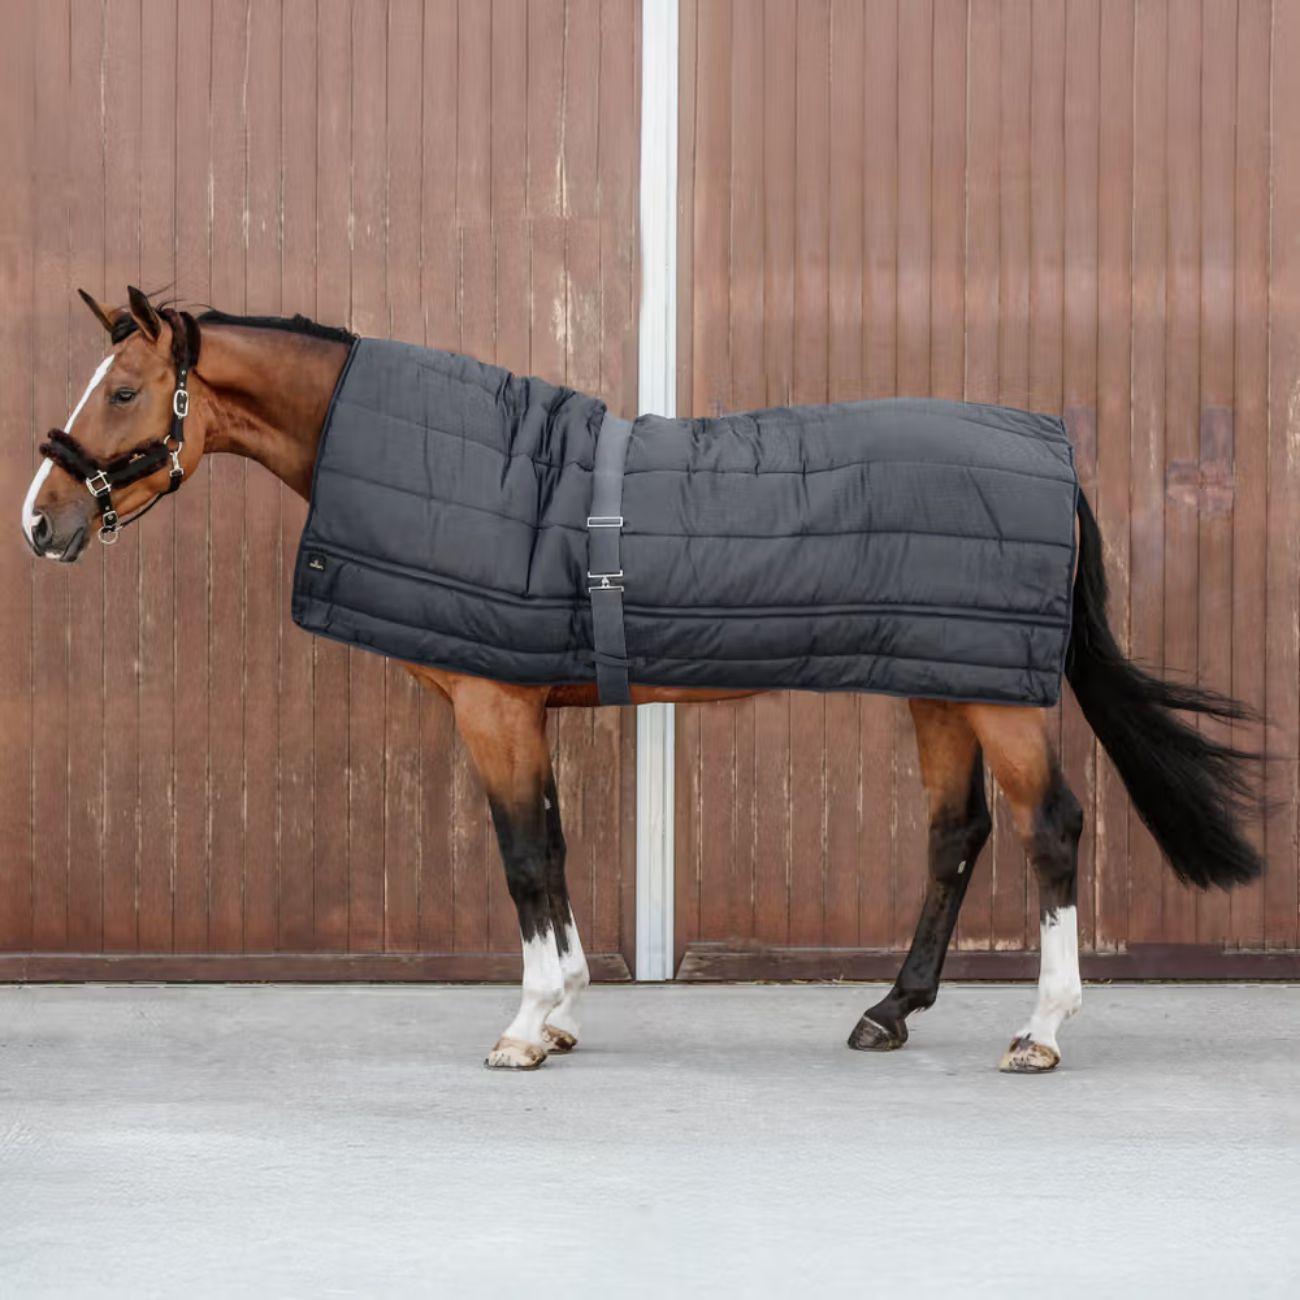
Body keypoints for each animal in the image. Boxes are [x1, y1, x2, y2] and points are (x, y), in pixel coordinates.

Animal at [21, 288, 1263, 1073]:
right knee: (955, 834)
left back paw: (1041, 1030)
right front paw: (566, 1007)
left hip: (997, 696)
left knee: (1050, 827)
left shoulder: (494, 707)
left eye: (123, 391)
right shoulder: (524, 704)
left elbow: (524, 856)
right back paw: (888, 1011)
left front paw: (525, 1026)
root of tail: (1047, 449)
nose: (42, 520)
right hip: (941, 682)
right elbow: (556, 848)